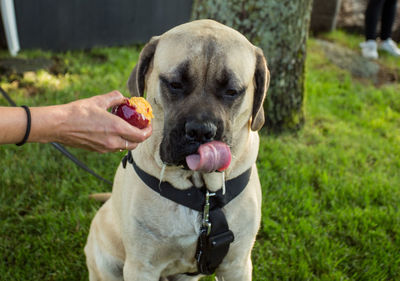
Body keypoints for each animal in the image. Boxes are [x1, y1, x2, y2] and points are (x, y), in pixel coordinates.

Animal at [86, 18, 270, 278]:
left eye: (232, 91)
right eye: (174, 84)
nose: (201, 131)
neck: (203, 196)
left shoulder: (237, 265)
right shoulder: (141, 267)